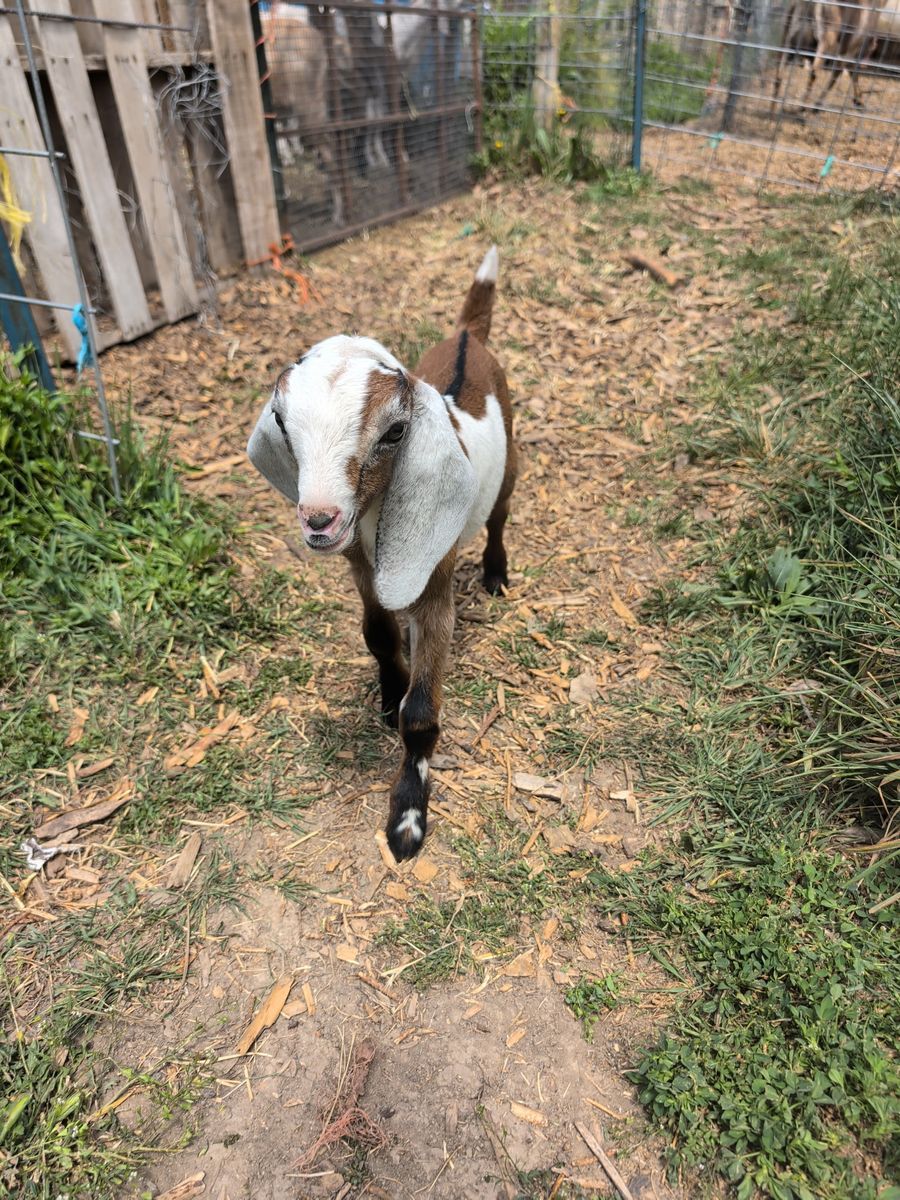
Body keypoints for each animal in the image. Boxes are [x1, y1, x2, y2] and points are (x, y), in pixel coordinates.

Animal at [247, 247, 515, 861]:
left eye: (395, 432)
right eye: (281, 422)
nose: (320, 520)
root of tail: (467, 337)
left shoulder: (434, 582)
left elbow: (422, 714)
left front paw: (408, 819)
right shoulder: (361, 566)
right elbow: (376, 632)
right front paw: (389, 693)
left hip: (511, 464)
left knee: (498, 515)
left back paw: (496, 573)